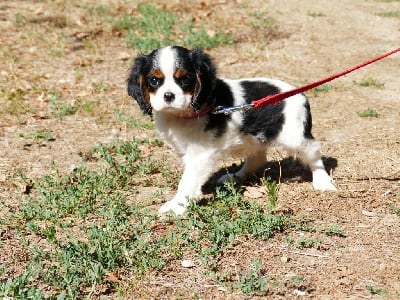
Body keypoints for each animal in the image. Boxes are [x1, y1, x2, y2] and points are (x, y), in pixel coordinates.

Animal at [126, 45, 336, 214]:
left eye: (185, 79)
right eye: (154, 80)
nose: (168, 96)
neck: (182, 114)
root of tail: (298, 93)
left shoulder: (200, 155)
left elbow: (187, 180)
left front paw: (176, 206)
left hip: (295, 136)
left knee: (314, 153)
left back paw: (322, 181)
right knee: (258, 158)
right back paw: (234, 177)